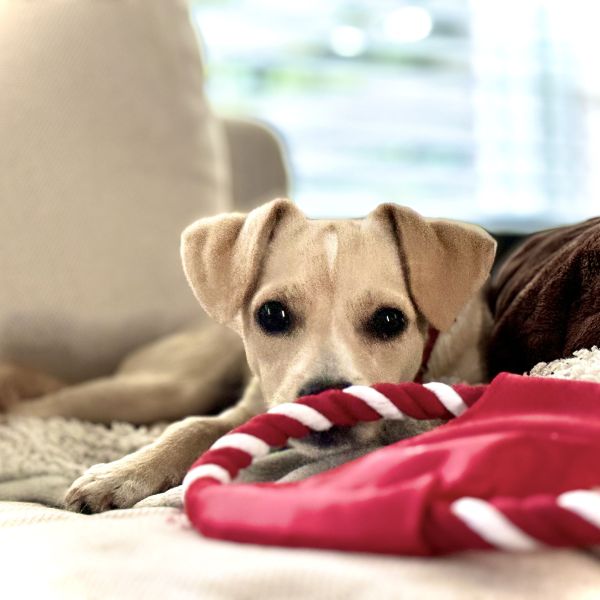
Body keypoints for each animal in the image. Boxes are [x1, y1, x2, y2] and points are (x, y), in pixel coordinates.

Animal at [1, 200, 496, 510]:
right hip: (157, 389)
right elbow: (191, 428)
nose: (325, 398)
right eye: (272, 314)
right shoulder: (249, 408)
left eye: (391, 320)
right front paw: (123, 473)